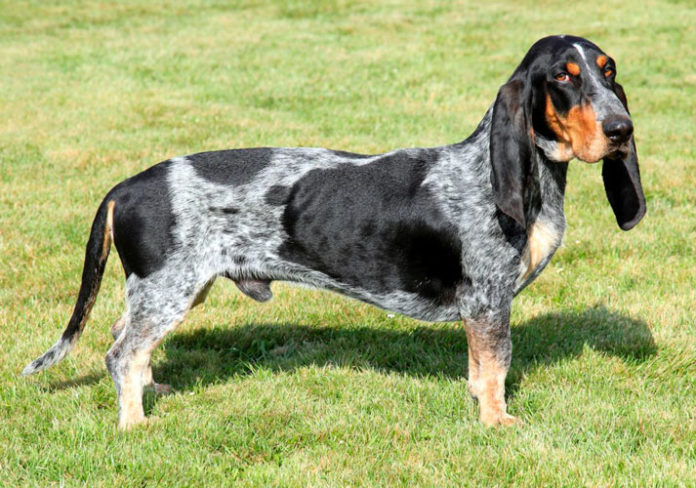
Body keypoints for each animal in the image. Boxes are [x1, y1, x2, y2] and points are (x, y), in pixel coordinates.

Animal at [23, 35, 648, 428]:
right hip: (167, 290)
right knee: (120, 354)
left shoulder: (483, 309)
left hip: (170, 291)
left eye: (609, 71)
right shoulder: (489, 301)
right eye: (563, 78)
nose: (622, 129)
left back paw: (152, 393)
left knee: (124, 339)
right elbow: (495, 368)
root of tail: (125, 186)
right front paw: (497, 423)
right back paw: (135, 424)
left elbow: (479, 370)